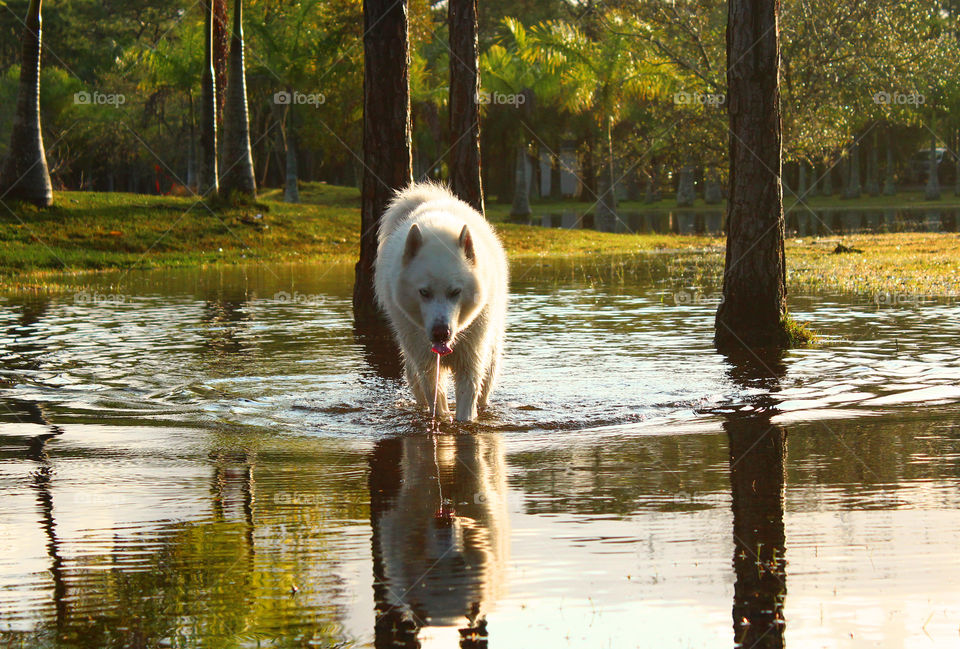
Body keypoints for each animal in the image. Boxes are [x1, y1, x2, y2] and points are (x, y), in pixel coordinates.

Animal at [376, 182, 510, 420]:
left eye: (455, 291)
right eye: (424, 292)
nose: (441, 333)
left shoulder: (470, 362)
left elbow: (467, 405)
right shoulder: (426, 364)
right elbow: (436, 401)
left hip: (491, 355)